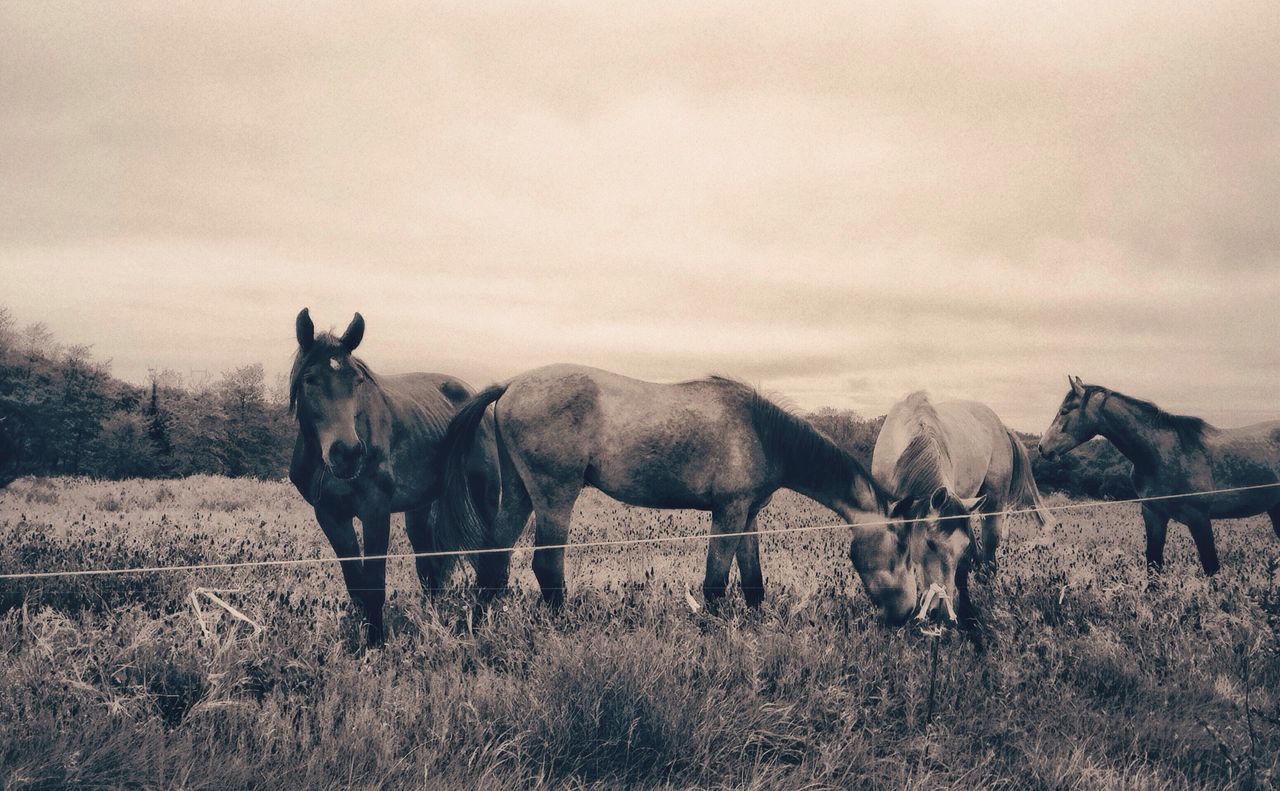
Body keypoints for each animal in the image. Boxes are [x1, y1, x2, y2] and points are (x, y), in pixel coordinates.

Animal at [288, 304, 496, 642]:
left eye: (357, 380)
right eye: (310, 378)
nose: (347, 453)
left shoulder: (375, 511)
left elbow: (374, 586)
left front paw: (376, 644)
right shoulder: (330, 515)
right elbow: (357, 587)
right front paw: (361, 643)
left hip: (486, 496)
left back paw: (481, 624)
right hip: (420, 510)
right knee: (430, 572)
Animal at [435, 363, 926, 622]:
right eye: (903, 550)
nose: (906, 613)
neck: (763, 434)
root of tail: (512, 385)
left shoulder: (748, 515)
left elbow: (753, 581)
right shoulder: (728, 513)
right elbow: (715, 581)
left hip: (521, 493)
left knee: (495, 556)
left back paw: (481, 620)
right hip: (556, 495)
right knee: (546, 566)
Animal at [870, 391, 1049, 624]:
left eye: (961, 548)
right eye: (930, 544)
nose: (941, 612)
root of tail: (1000, 425)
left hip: (991, 504)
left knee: (989, 548)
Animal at [1039, 373, 1280, 573]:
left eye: (1064, 411)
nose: (1042, 447)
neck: (1160, 455)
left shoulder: (1199, 518)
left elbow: (1211, 566)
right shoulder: (1153, 515)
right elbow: (1153, 564)